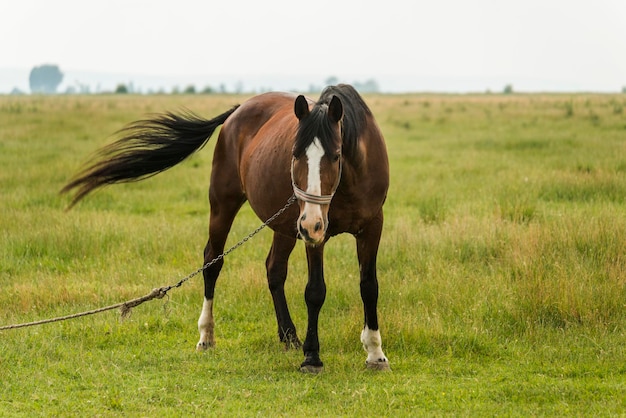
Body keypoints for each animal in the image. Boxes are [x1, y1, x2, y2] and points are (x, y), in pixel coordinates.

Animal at [61, 84, 388, 372]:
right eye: (295, 154)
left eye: (336, 155)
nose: (310, 223)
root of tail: (238, 110)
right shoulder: (315, 237)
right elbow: (315, 291)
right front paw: (312, 358)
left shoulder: (372, 227)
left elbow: (369, 286)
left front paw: (375, 352)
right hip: (226, 205)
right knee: (212, 262)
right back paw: (207, 336)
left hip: (284, 224)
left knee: (274, 269)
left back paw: (289, 336)